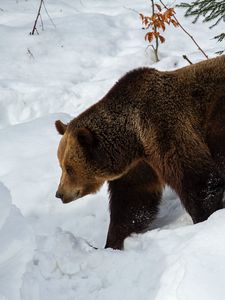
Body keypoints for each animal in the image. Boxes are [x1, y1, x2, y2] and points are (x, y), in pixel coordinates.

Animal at [54, 55, 225, 250]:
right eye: (61, 165)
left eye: (69, 168)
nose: (59, 193)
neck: (133, 137)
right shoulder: (140, 163)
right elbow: (133, 201)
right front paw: (112, 242)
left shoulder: (165, 129)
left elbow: (200, 179)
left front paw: (204, 219)